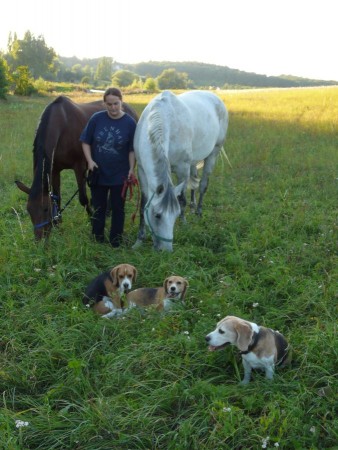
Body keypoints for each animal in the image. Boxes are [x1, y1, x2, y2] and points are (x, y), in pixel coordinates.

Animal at [16, 96, 138, 239]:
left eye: (45, 209)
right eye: (29, 209)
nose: (40, 239)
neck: (62, 125)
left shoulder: (79, 167)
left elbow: (83, 198)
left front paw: (92, 219)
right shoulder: (55, 170)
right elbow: (57, 197)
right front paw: (58, 224)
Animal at [133, 89, 228, 251]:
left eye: (175, 215)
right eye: (157, 215)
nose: (166, 251)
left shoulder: (182, 168)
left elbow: (181, 200)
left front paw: (184, 224)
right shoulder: (142, 171)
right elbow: (142, 205)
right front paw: (139, 239)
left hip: (212, 154)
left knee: (202, 186)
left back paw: (198, 212)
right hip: (193, 162)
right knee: (194, 183)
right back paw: (193, 207)